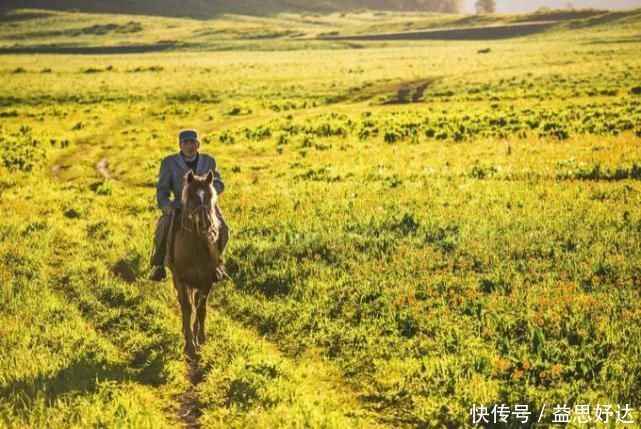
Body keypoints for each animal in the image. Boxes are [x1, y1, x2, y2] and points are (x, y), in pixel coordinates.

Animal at [168, 169, 222, 356]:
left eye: (210, 196)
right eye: (191, 197)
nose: (205, 224)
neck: (195, 248)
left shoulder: (206, 281)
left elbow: (201, 308)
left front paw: (201, 338)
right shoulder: (182, 280)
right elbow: (187, 308)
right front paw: (190, 345)